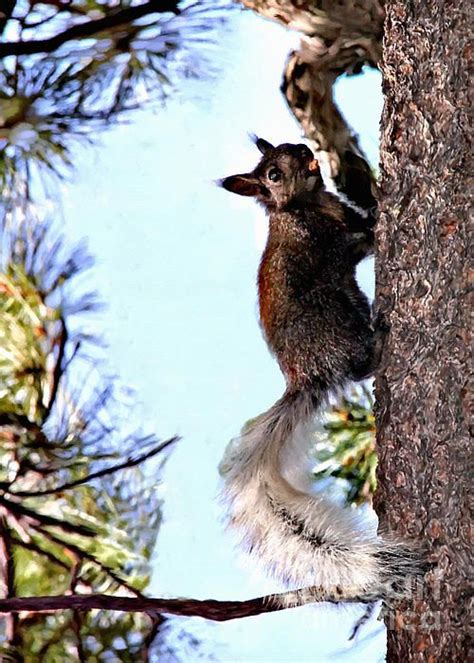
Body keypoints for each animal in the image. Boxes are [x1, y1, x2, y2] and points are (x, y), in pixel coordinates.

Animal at [218, 137, 422, 604]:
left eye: (286, 144)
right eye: (272, 174)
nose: (303, 149)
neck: (307, 203)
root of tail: (305, 377)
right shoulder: (324, 241)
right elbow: (355, 243)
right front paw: (379, 221)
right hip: (334, 319)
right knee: (358, 365)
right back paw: (379, 341)